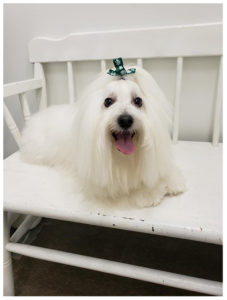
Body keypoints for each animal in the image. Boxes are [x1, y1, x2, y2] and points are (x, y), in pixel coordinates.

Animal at [20, 59, 185, 207]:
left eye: (138, 101)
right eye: (108, 101)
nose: (125, 120)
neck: (123, 158)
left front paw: (172, 181)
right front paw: (149, 193)